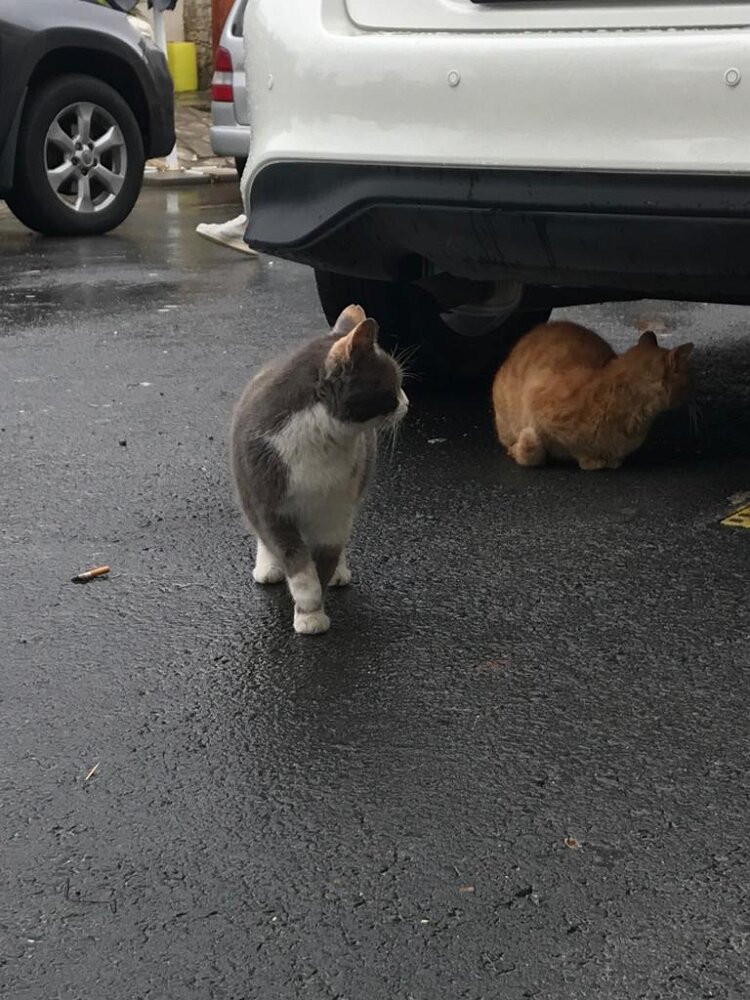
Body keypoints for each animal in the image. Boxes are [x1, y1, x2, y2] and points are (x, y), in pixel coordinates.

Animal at [230, 304, 409, 635]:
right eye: (393, 383)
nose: (407, 403)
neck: (318, 439)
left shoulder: (333, 514)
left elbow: (323, 562)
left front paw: (312, 613)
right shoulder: (270, 509)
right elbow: (297, 563)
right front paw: (308, 606)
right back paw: (268, 567)